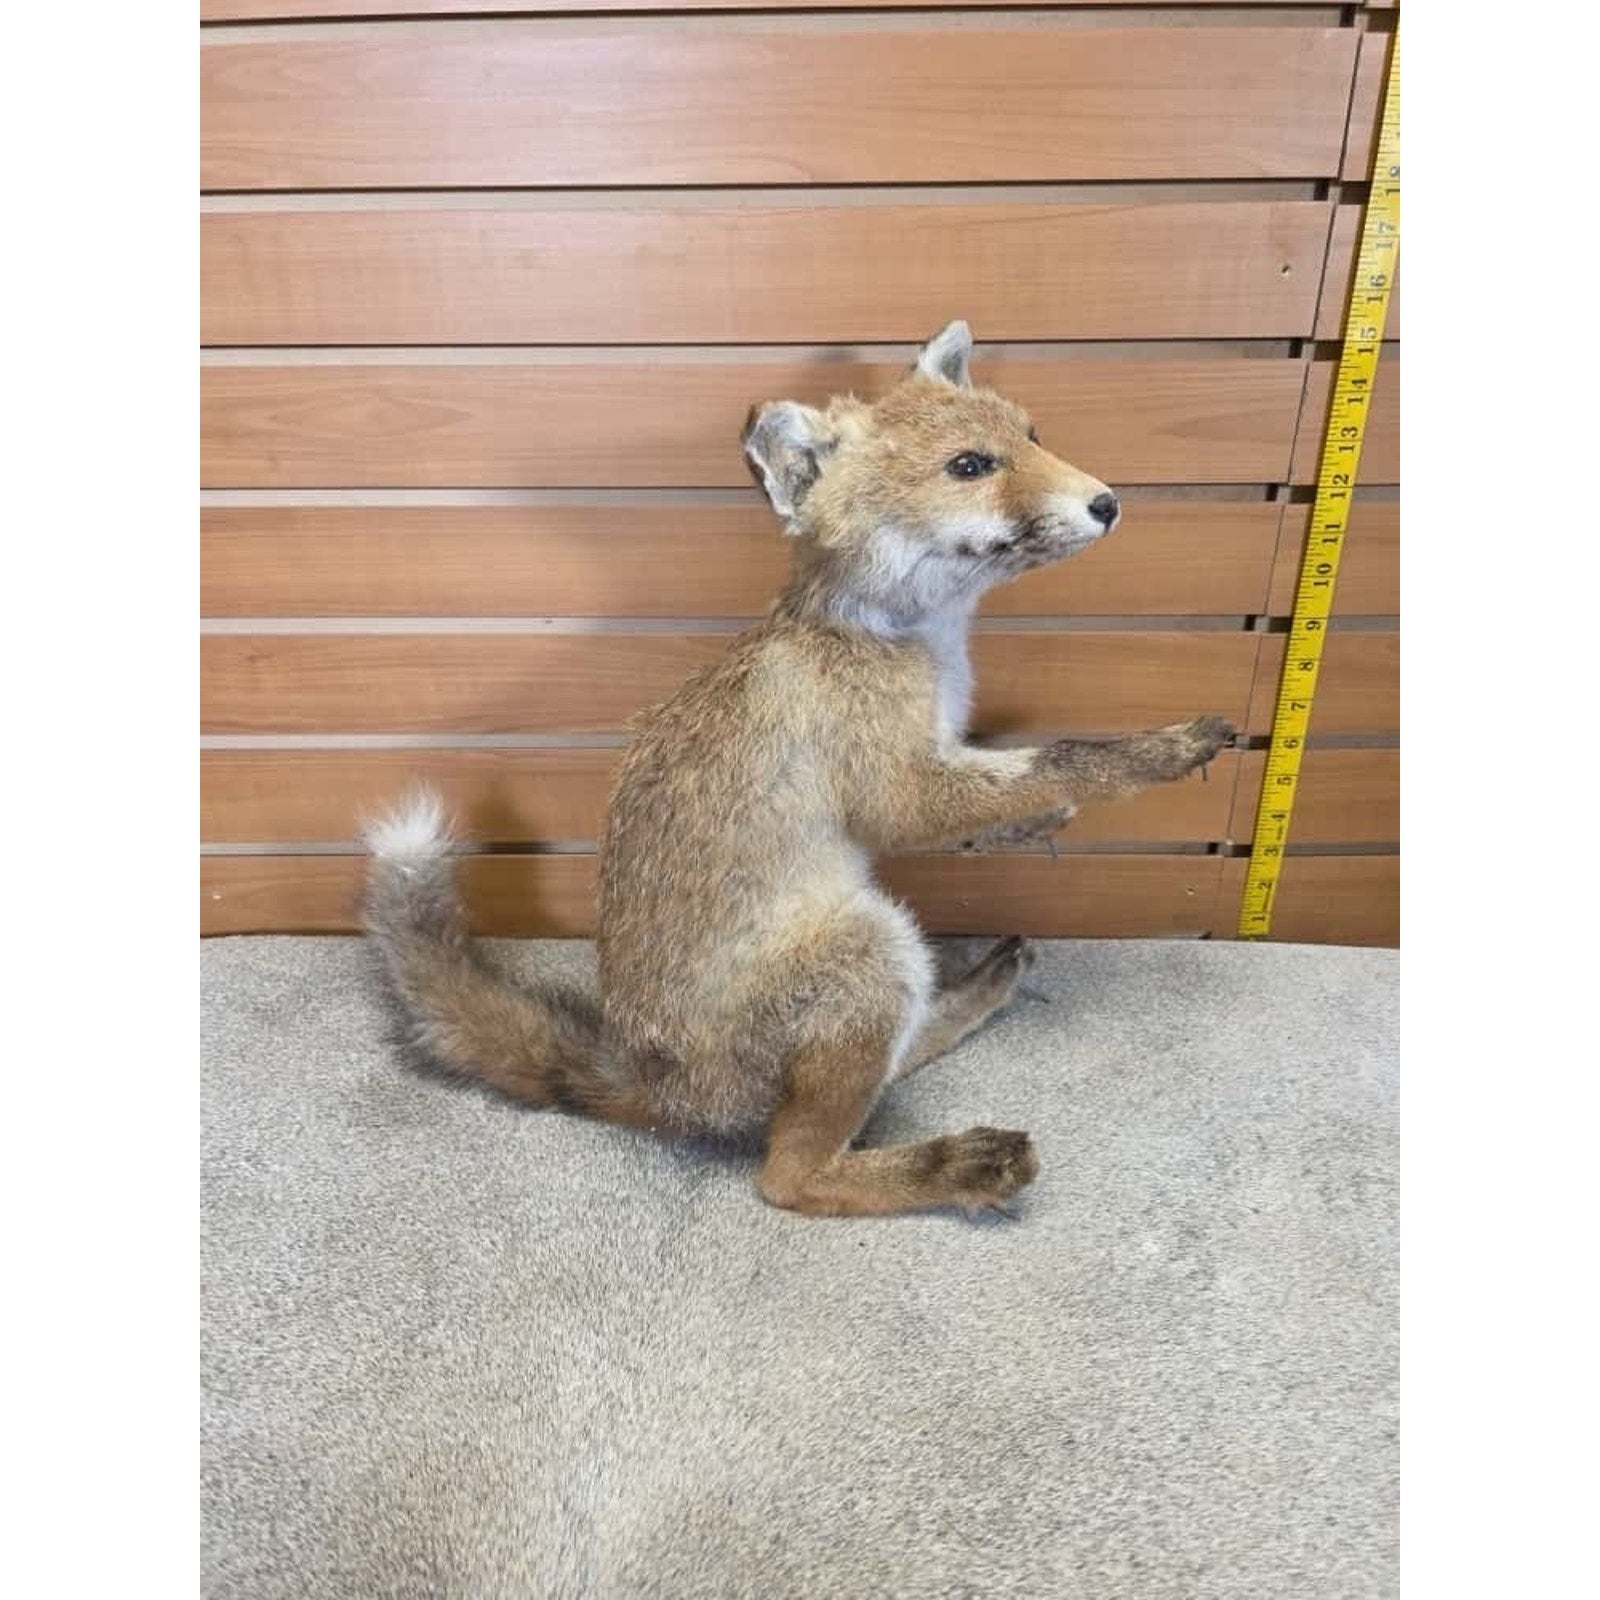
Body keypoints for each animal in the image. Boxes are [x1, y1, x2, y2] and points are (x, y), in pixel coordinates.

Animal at [363, 320, 1235, 1219]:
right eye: (969, 466)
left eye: (1032, 437)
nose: (1107, 501)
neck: (907, 643)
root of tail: (660, 1092)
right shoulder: (898, 788)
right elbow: (1065, 761)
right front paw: (1164, 751)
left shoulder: (948, 751)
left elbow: (1018, 779)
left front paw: (1035, 823)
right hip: (871, 953)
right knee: (792, 1175)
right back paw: (954, 1165)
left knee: (890, 1064)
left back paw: (972, 996)